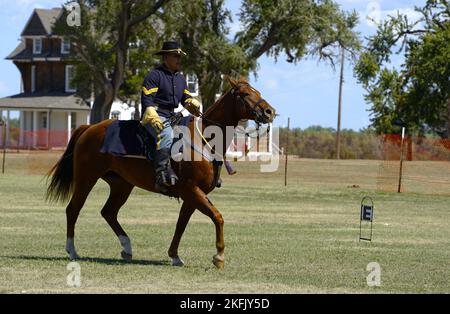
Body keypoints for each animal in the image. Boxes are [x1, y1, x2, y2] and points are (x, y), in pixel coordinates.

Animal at [46, 77, 278, 268]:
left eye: (257, 91)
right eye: (245, 94)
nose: (269, 112)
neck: (205, 141)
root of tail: (89, 128)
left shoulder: (192, 195)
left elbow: (181, 224)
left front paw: (175, 255)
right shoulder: (191, 190)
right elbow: (217, 217)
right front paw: (219, 256)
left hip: (122, 185)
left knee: (108, 212)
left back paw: (127, 248)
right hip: (86, 179)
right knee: (73, 210)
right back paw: (72, 251)